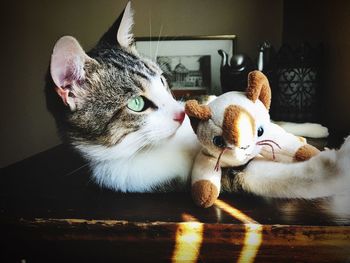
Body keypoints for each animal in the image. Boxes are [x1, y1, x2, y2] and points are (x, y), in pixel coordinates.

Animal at [46, 0, 350, 198]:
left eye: (163, 81)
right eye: (136, 104)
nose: (181, 115)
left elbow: (266, 117)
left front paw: (311, 127)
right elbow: (263, 176)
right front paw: (336, 165)